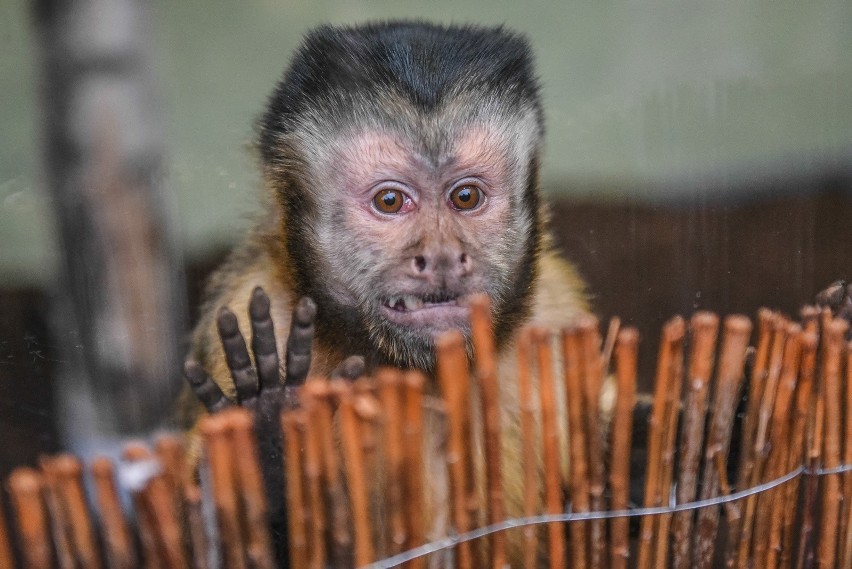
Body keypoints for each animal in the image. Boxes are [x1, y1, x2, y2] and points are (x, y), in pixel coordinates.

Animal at [184, 21, 588, 564]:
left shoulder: (558, 316)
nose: (442, 255)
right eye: (391, 201)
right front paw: (272, 441)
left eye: (466, 197)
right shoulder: (247, 310)